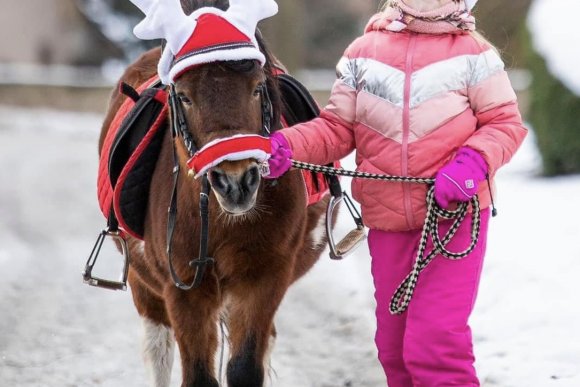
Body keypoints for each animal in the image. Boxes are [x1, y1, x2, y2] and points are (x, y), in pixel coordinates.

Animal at [98, 0, 334, 384]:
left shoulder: (263, 277)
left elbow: (245, 367)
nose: (235, 181)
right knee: (158, 350)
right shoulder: (184, 289)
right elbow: (197, 374)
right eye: (183, 96)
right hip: (143, 284)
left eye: (257, 88)